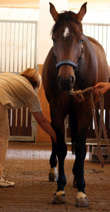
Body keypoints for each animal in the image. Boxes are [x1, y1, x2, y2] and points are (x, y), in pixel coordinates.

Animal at [41, 1, 108, 207]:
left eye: (80, 40)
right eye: (54, 39)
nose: (65, 80)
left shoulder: (85, 111)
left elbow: (79, 149)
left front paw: (81, 192)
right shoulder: (57, 110)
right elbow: (62, 147)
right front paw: (60, 190)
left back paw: (77, 178)